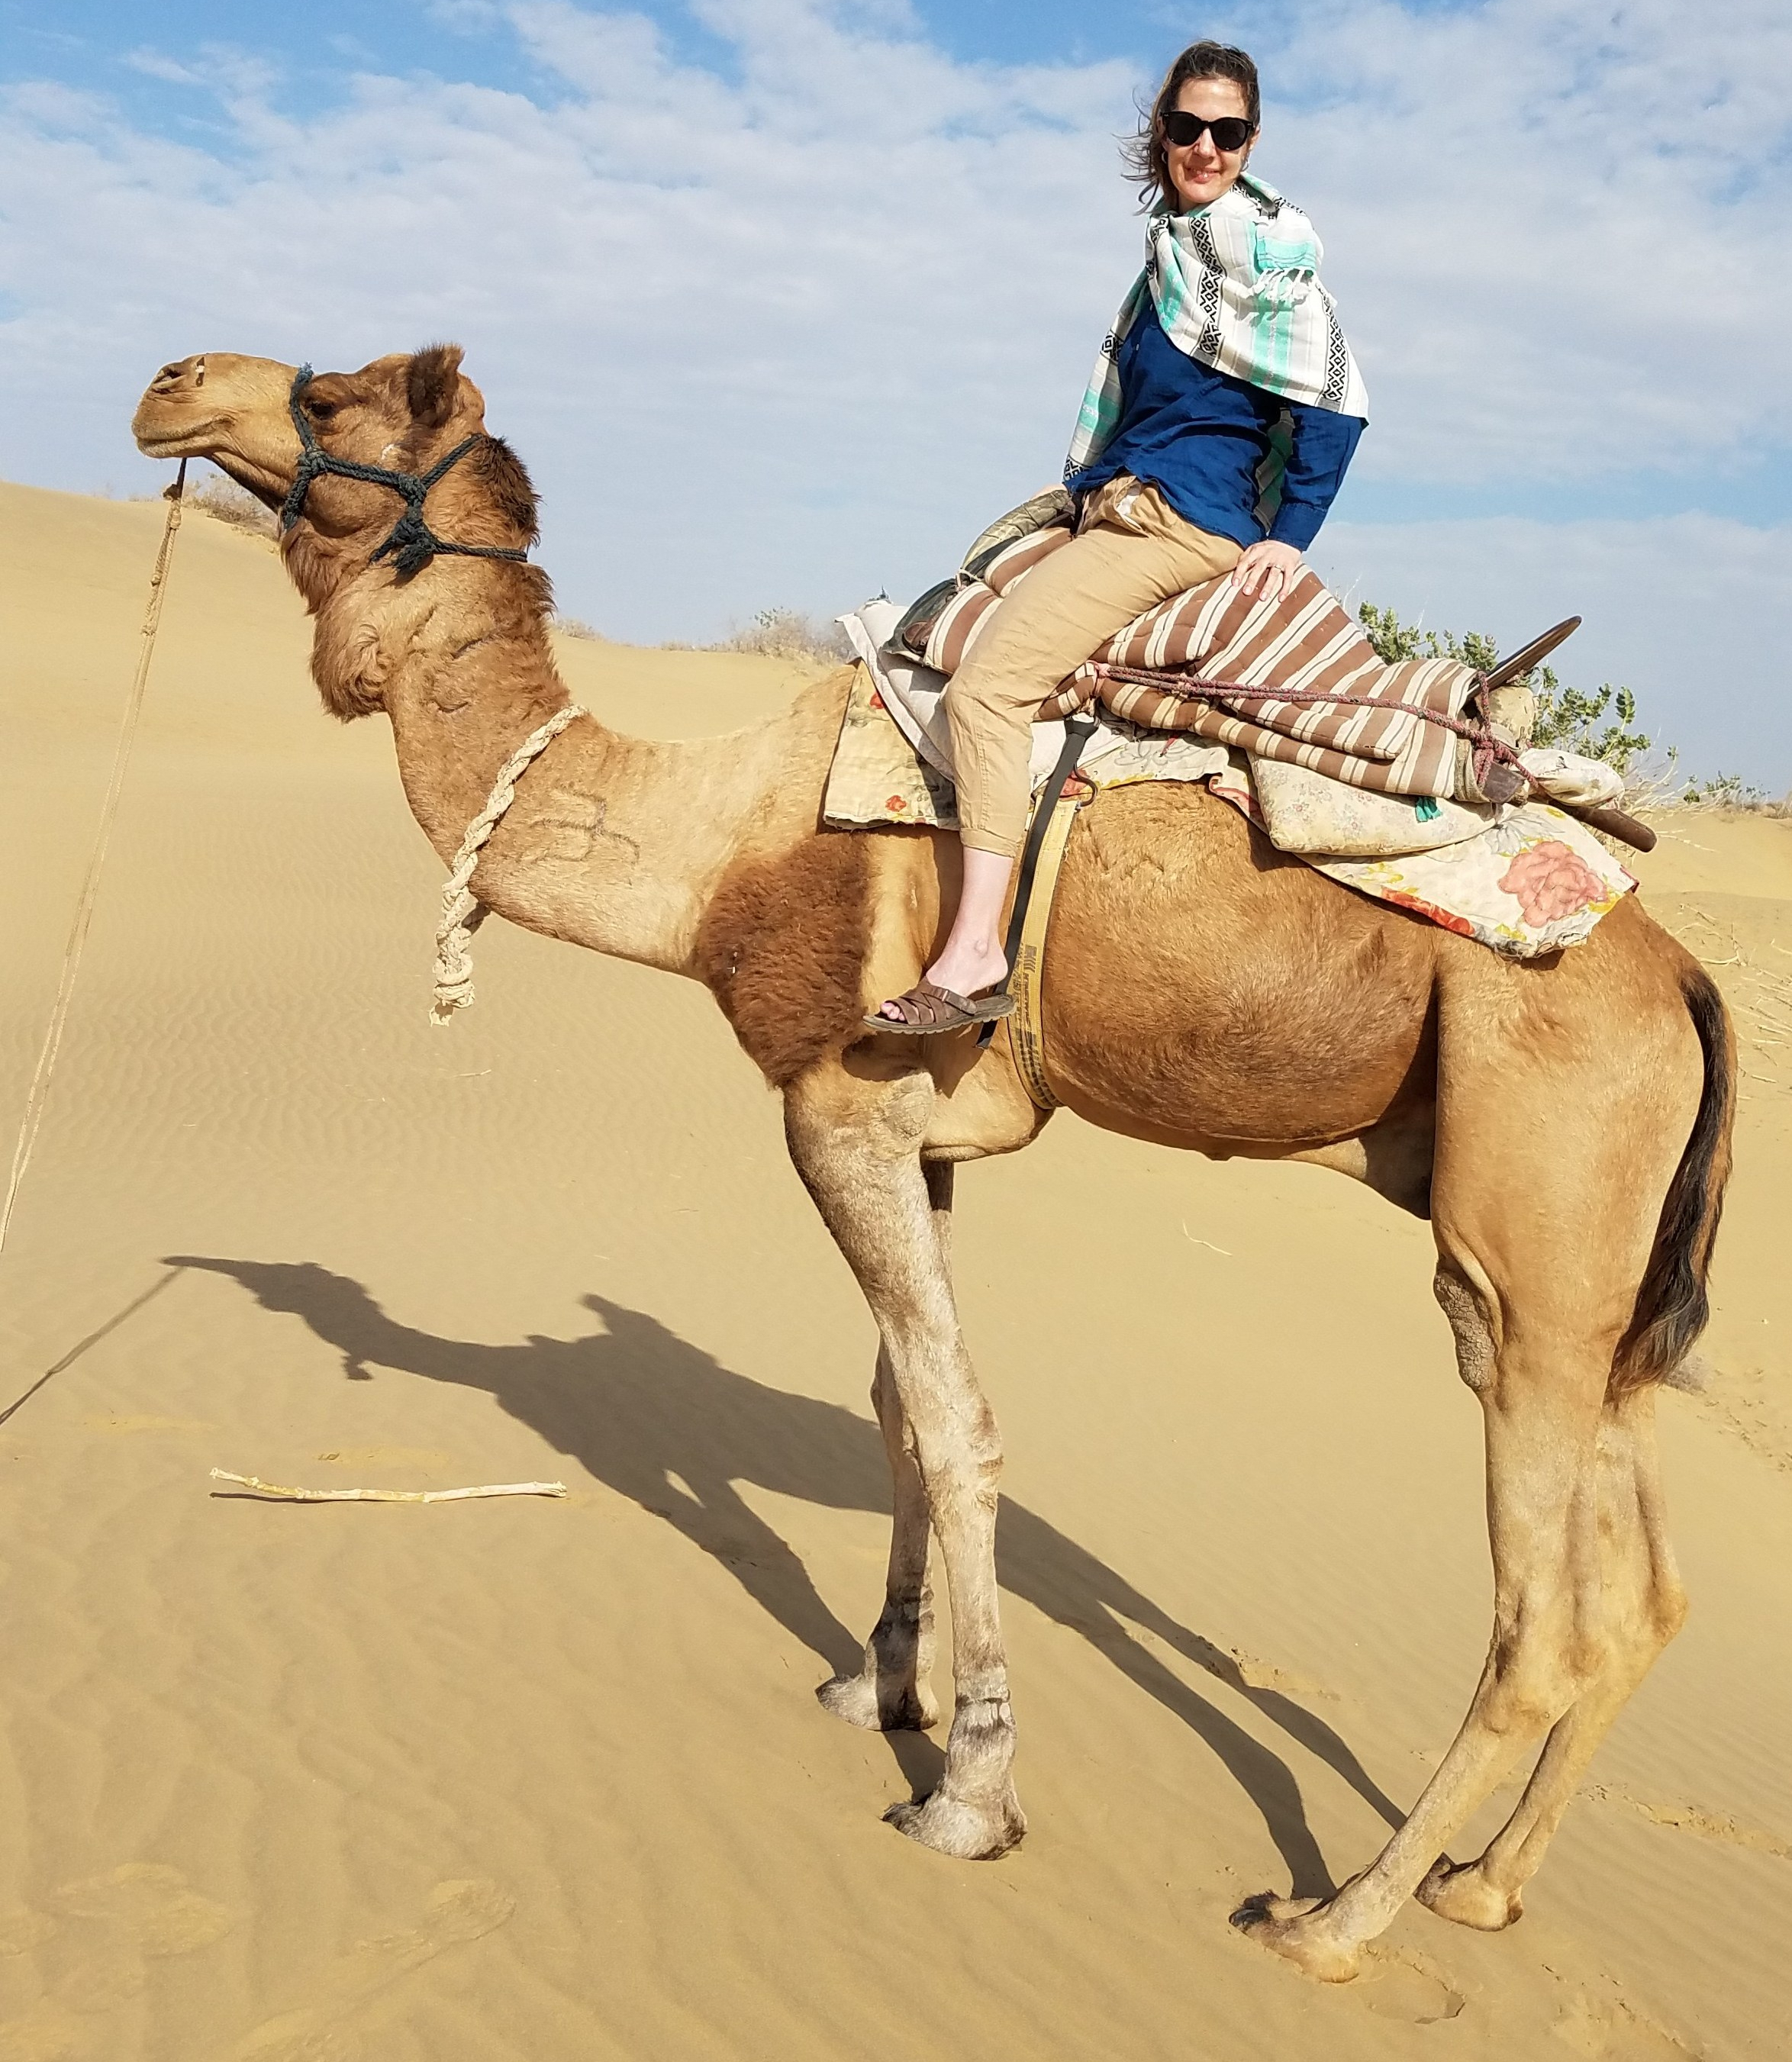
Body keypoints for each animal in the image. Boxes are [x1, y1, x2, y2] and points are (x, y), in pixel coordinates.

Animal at [133, 345, 1733, 1983]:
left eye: (332, 398)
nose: (169, 385)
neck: (716, 849)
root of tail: (1679, 984)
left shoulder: (831, 1107)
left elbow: (959, 1425)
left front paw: (968, 1789)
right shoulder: (919, 1129)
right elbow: (895, 1399)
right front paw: (876, 1682)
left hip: (1532, 1219)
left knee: (1537, 1619)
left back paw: (1334, 1915)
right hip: (1593, 1285)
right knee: (1641, 1592)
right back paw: (1481, 1884)